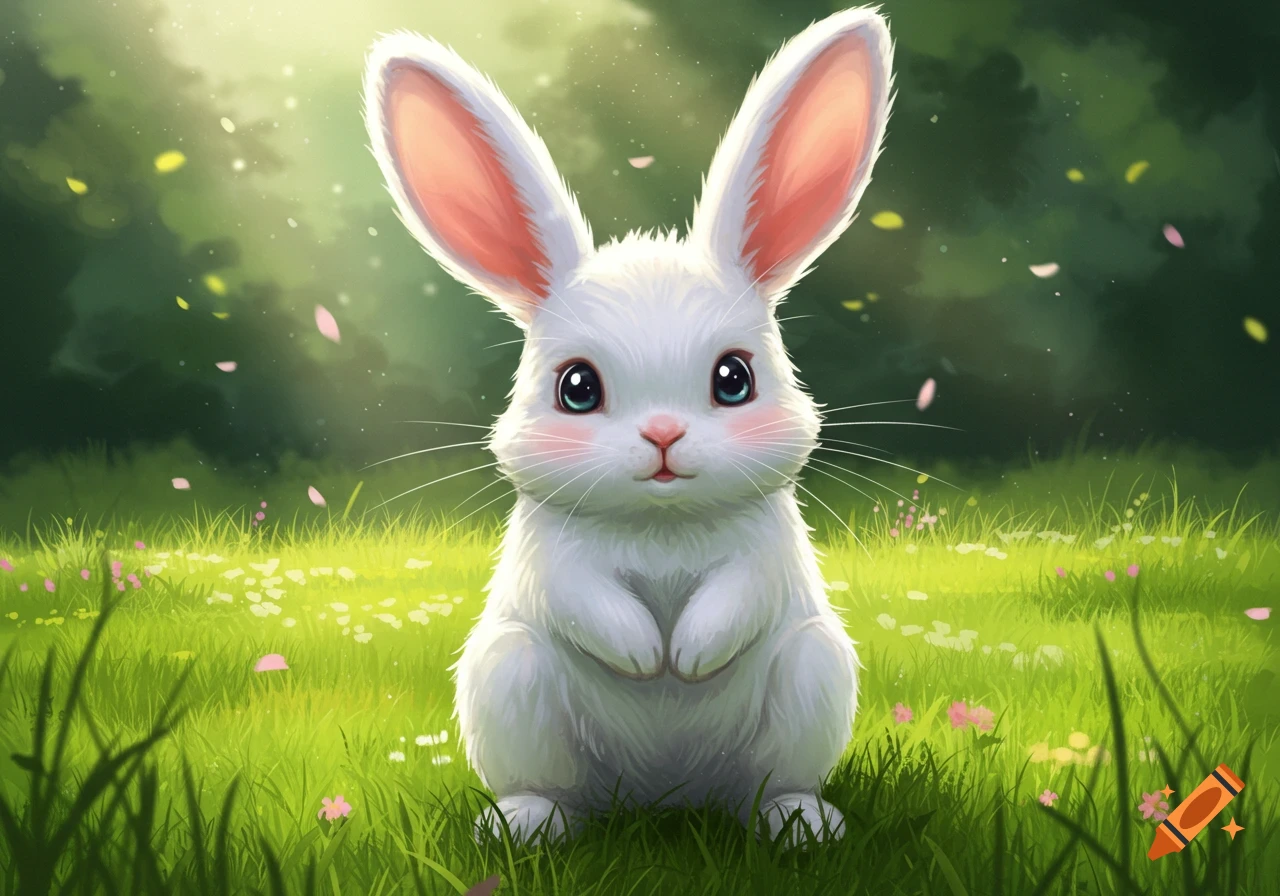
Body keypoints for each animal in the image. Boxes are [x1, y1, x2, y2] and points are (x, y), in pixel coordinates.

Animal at [363, 5, 894, 846]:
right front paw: (649, 658)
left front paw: (688, 658)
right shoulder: (552, 560)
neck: (660, 523)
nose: (664, 437)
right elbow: (585, 601)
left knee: (770, 783)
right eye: (577, 387)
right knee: (550, 783)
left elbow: (739, 595)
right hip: (508, 678)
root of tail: (664, 797)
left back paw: (800, 823)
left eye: (734, 378)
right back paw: (525, 826)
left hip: (814, 672)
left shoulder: (768, 551)